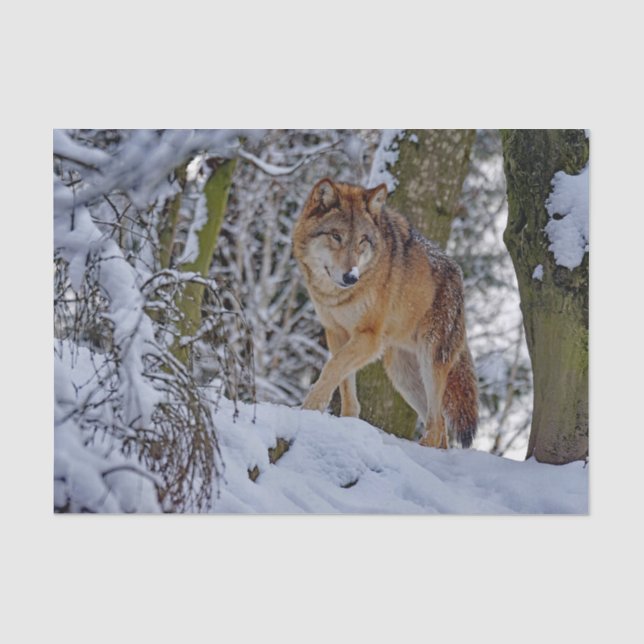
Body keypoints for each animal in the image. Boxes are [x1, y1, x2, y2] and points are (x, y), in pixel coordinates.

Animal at [292, 178, 478, 448]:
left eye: (362, 240)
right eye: (336, 236)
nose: (351, 277)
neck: (338, 296)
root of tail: (459, 276)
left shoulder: (369, 338)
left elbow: (331, 368)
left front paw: (309, 408)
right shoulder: (336, 333)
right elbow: (344, 382)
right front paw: (347, 422)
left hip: (430, 360)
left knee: (436, 424)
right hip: (402, 375)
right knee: (441, 427)